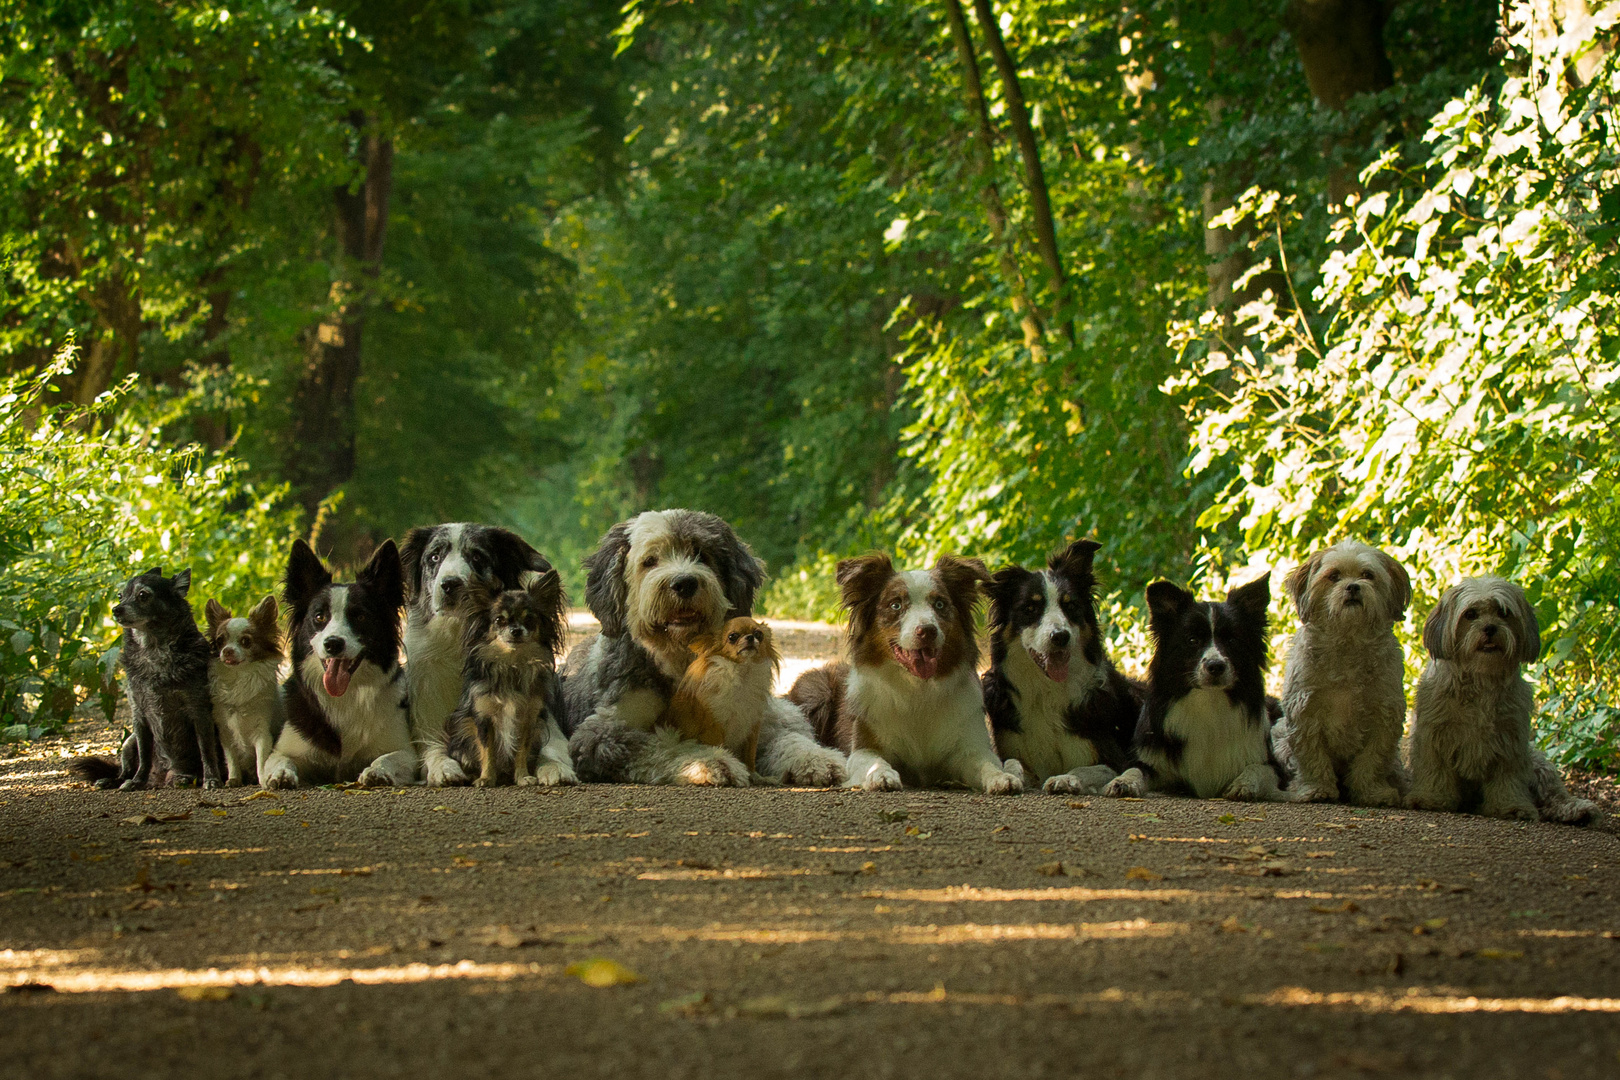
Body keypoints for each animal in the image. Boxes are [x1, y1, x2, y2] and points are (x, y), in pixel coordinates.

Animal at [70, 569, 223, 790]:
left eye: (143, 595)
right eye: (120, 596)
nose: (116, 610)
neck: (153, 650)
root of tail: (164, 778)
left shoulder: (199, 711)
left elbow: (207, 751)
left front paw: (212, 779)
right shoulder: (139, 717)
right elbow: (144, 756)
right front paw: (136, 781)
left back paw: (187, 778)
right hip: (129, 742)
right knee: (125, 770)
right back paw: (116, 780)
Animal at [563, 511, 848, 790]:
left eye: (701, 554)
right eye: (650, 560)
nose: (684, 583)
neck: (681, 658)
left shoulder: (759, 714)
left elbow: (788, 735)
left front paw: (814, 758)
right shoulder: (601, 734)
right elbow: (665, 744)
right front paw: (711, 761)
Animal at [1270, 540, 1412, 803]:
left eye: (1368, 575)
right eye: (1333, 576)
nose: (1353, 587)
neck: (1348, 640)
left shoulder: (1384, 714)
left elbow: (1372, 759)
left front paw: (1370, 790)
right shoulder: (1305, 711)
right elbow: (1312, 757)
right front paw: (1317, 788)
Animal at [1406, 579, 1594, 822]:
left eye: (1503, 613)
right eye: (1471, 614)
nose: (1490, 628)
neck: (1481, 678)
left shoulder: (1509, 740)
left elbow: (1508, 778)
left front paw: (1511, 806)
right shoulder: (1435, 736)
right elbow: (1435, 769)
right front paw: (1431, 798)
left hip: (1537, 763)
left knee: (1554, 794)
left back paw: (1577, 810)